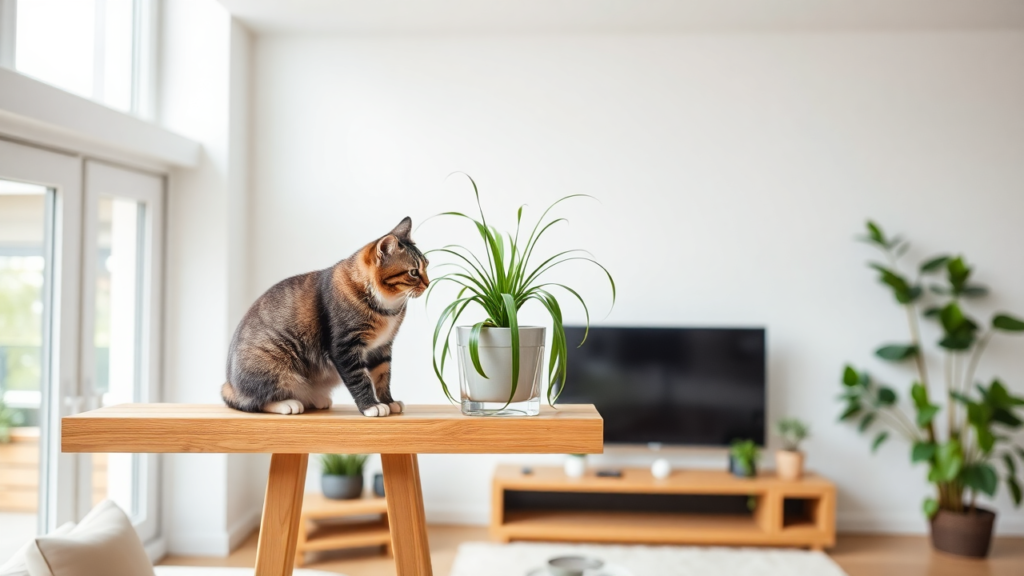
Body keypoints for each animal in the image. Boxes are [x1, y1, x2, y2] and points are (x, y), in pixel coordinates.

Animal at [222, 217, 430, 414]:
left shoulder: (382, 347)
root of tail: (231, 386)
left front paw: (388, 401)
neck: (385, 306)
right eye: (413, 272)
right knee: (255, 401)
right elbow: (359, 379)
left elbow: (382, 376)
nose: (428, 283)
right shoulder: (344, 346)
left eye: (426, 265)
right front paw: (371, 406)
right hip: (273, 362)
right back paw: (286, 404)